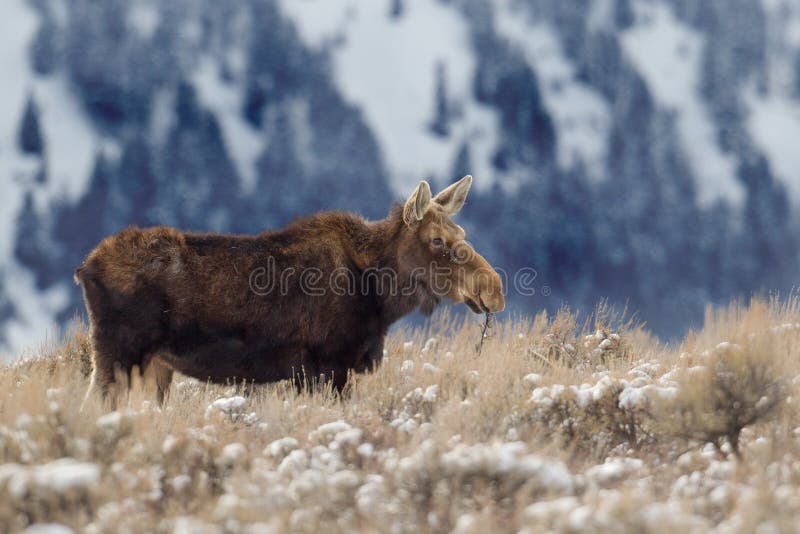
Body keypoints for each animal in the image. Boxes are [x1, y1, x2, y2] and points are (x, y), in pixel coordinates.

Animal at [75, 176, 500, 406]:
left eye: (461, 232)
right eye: (437, 240)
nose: (493, 288)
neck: (381, 296)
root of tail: (84, 268)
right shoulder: (326, 366)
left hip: (154, 366)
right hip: (118, 355)